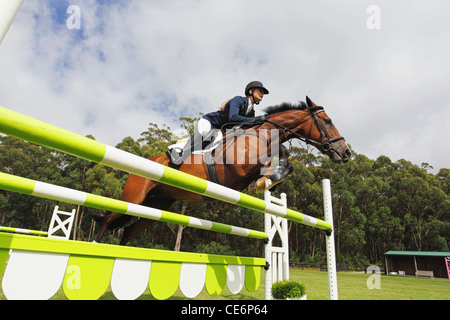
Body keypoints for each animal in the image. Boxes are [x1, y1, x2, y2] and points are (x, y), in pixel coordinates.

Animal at [94, 96, 352, 244]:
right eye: (327, 121)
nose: (346, 152)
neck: (261, 132)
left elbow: (285, 159)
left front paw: (269, 180)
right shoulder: (242, 166)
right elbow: (275, 158)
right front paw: (267, 180)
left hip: (157, 205)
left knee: (127, 232)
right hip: (134, 197)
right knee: (106, 220)